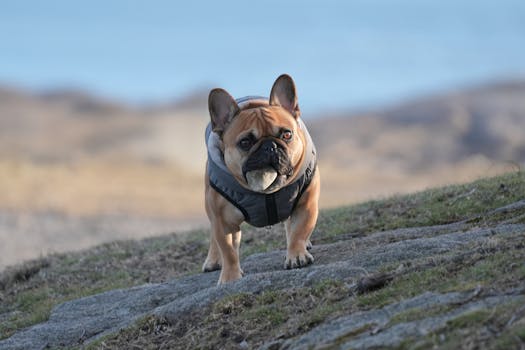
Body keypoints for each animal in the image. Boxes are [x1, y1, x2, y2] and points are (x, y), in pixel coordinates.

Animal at [204, 74, 320, 284]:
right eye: (245, 142)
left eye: (287, 134)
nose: (270, 146)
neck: (266, 189)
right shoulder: (223, 222)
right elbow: (228, 250)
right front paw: (230, 277)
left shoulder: (306, 203)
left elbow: (300, 230)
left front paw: (296, 255)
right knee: (214, 238)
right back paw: (213, 260)